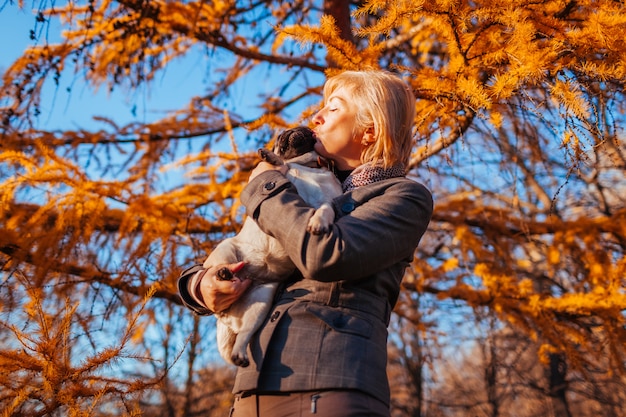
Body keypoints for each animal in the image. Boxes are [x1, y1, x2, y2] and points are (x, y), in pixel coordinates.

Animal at [201, 125, 342, 366]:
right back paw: (223, 275)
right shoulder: (283, 173)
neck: (308, 167)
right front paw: (269, 155)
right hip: (226, 251)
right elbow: (282, 164)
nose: (294, 130)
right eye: (280, 136)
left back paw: (240, 354)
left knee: (244, 333)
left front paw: (319, 222)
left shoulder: (329, 202)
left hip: (261, 302)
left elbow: (325, 209)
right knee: (220, 282)